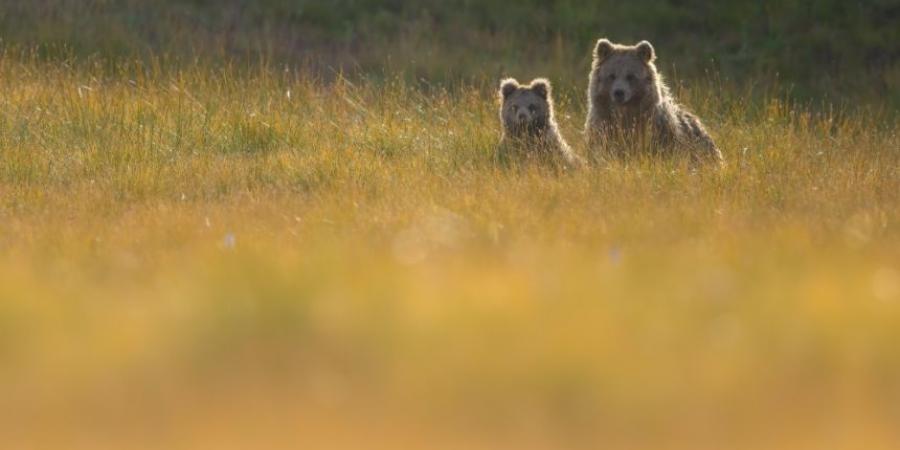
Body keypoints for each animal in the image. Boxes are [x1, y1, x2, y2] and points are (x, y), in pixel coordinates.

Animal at [584, 39, 724, 164]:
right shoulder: (603, 124)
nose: (619, 93)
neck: (626, 113)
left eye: (631, 76)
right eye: (611, 75)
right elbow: (600, 149)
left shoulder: (655, 127)